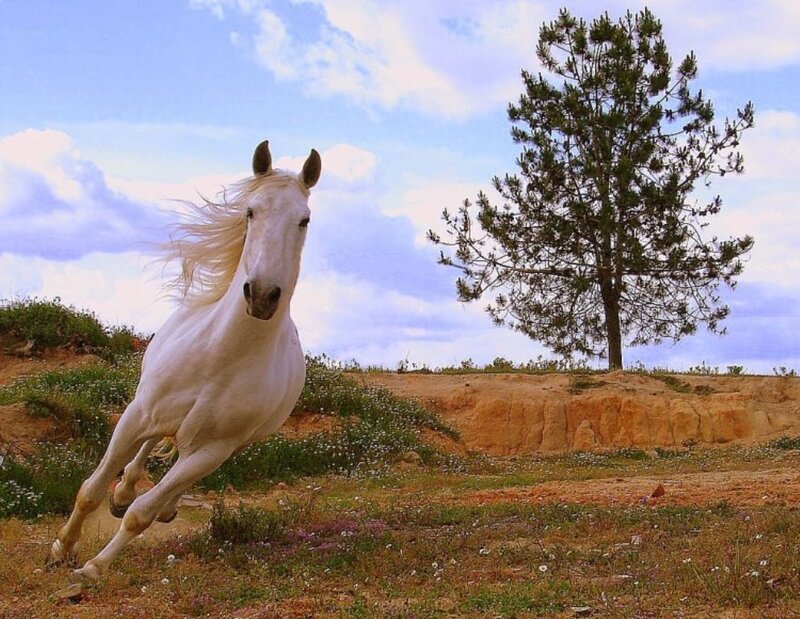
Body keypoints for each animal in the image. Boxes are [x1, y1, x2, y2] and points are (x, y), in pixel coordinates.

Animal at [47, 140, 321, 583]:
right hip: (151, 411)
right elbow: (91, 490)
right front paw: (61, 549)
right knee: (149, 447)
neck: (221, 356)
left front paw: (92, 568)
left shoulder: (214, 449)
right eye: (250, 211)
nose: (262, 295)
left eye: (304, 220)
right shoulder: (136, 415)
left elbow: (142, 514)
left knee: (169, 476)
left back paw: (156, 504)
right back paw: (122, 491)